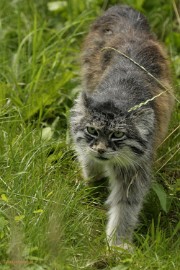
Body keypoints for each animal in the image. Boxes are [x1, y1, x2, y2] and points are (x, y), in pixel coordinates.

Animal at [69, 4, 174, 249]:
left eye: (118, 134)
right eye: (92, 130)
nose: (100, 149)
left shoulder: (135, 169)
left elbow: (126, 205)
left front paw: (117, 244)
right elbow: (86, 157)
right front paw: (92, 176)